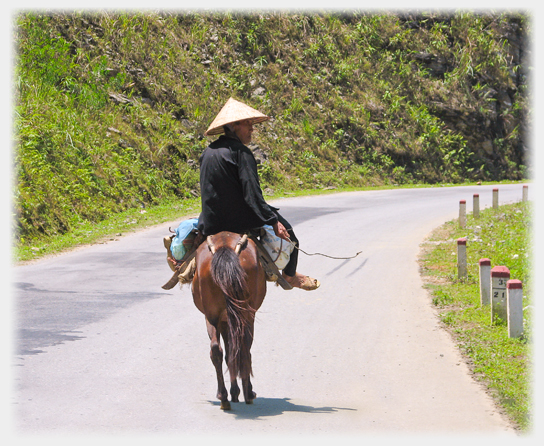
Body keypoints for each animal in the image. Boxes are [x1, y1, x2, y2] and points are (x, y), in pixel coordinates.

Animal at [192, 232, 266, 410]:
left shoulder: (224, 320)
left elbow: (230, 352)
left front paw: (234, 392)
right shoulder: (233, 320)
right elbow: (236, 351)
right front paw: (240, 392)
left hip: (212, 316)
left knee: (216, 350)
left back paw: (223, 397)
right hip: (245, 314)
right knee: (244, 347)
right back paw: (247, 393)